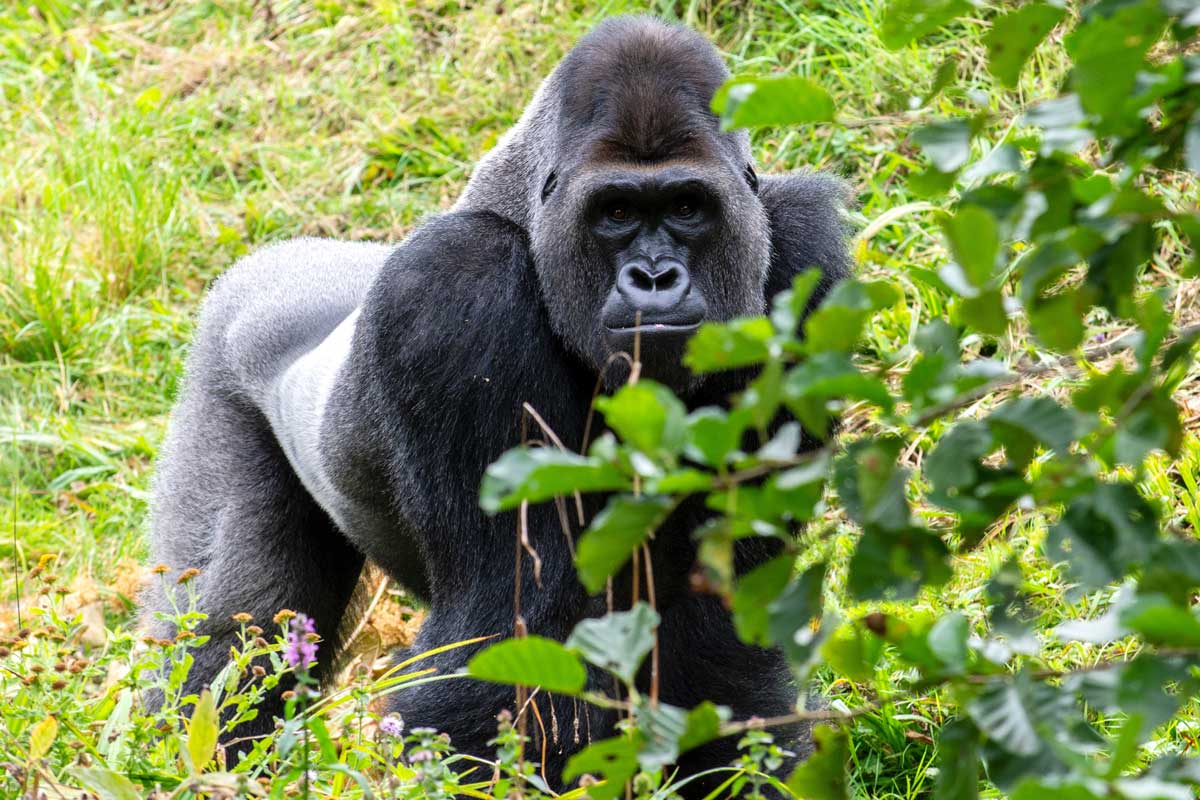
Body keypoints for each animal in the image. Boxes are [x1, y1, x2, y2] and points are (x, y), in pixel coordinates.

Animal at [142, 15, 850, 794]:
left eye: (687, 207)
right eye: (617, 212)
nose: (655, 277)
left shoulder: (802, 261)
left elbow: (722, 627)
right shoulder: (454, 286)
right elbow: (506, 633)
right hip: (221, 359)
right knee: (232, 633)